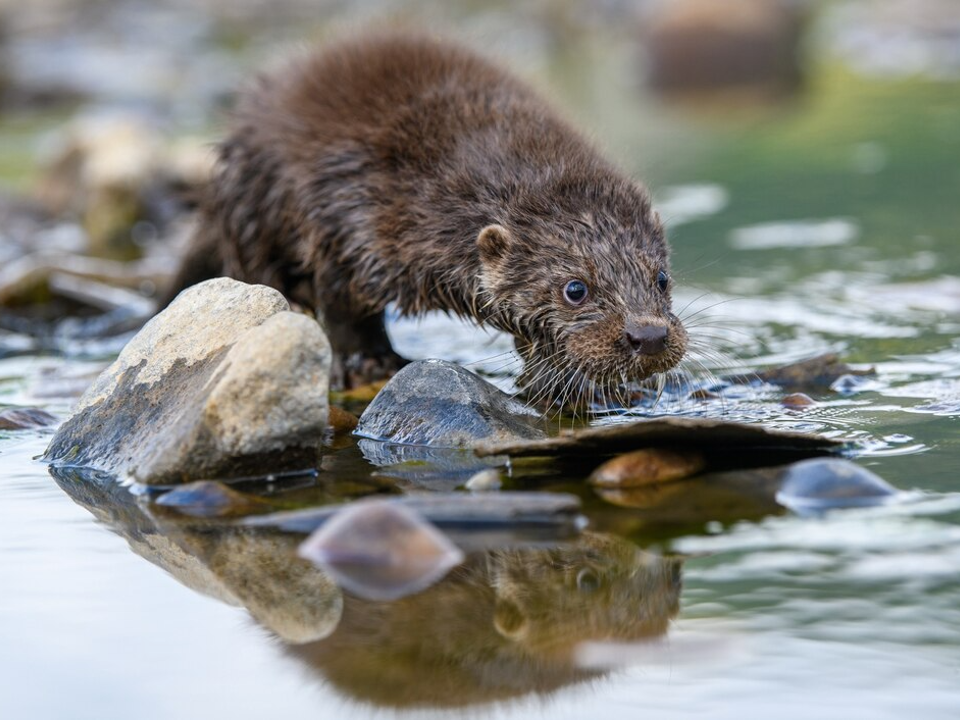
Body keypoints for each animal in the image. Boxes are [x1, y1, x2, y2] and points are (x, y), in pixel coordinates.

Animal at [169, 33, 688, 408]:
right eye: (575, 289)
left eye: (662, 278)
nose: (649, 336)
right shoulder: (349, 220)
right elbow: (342, 304)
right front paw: (367, 362)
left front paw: (586, 388)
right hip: (252, 202)